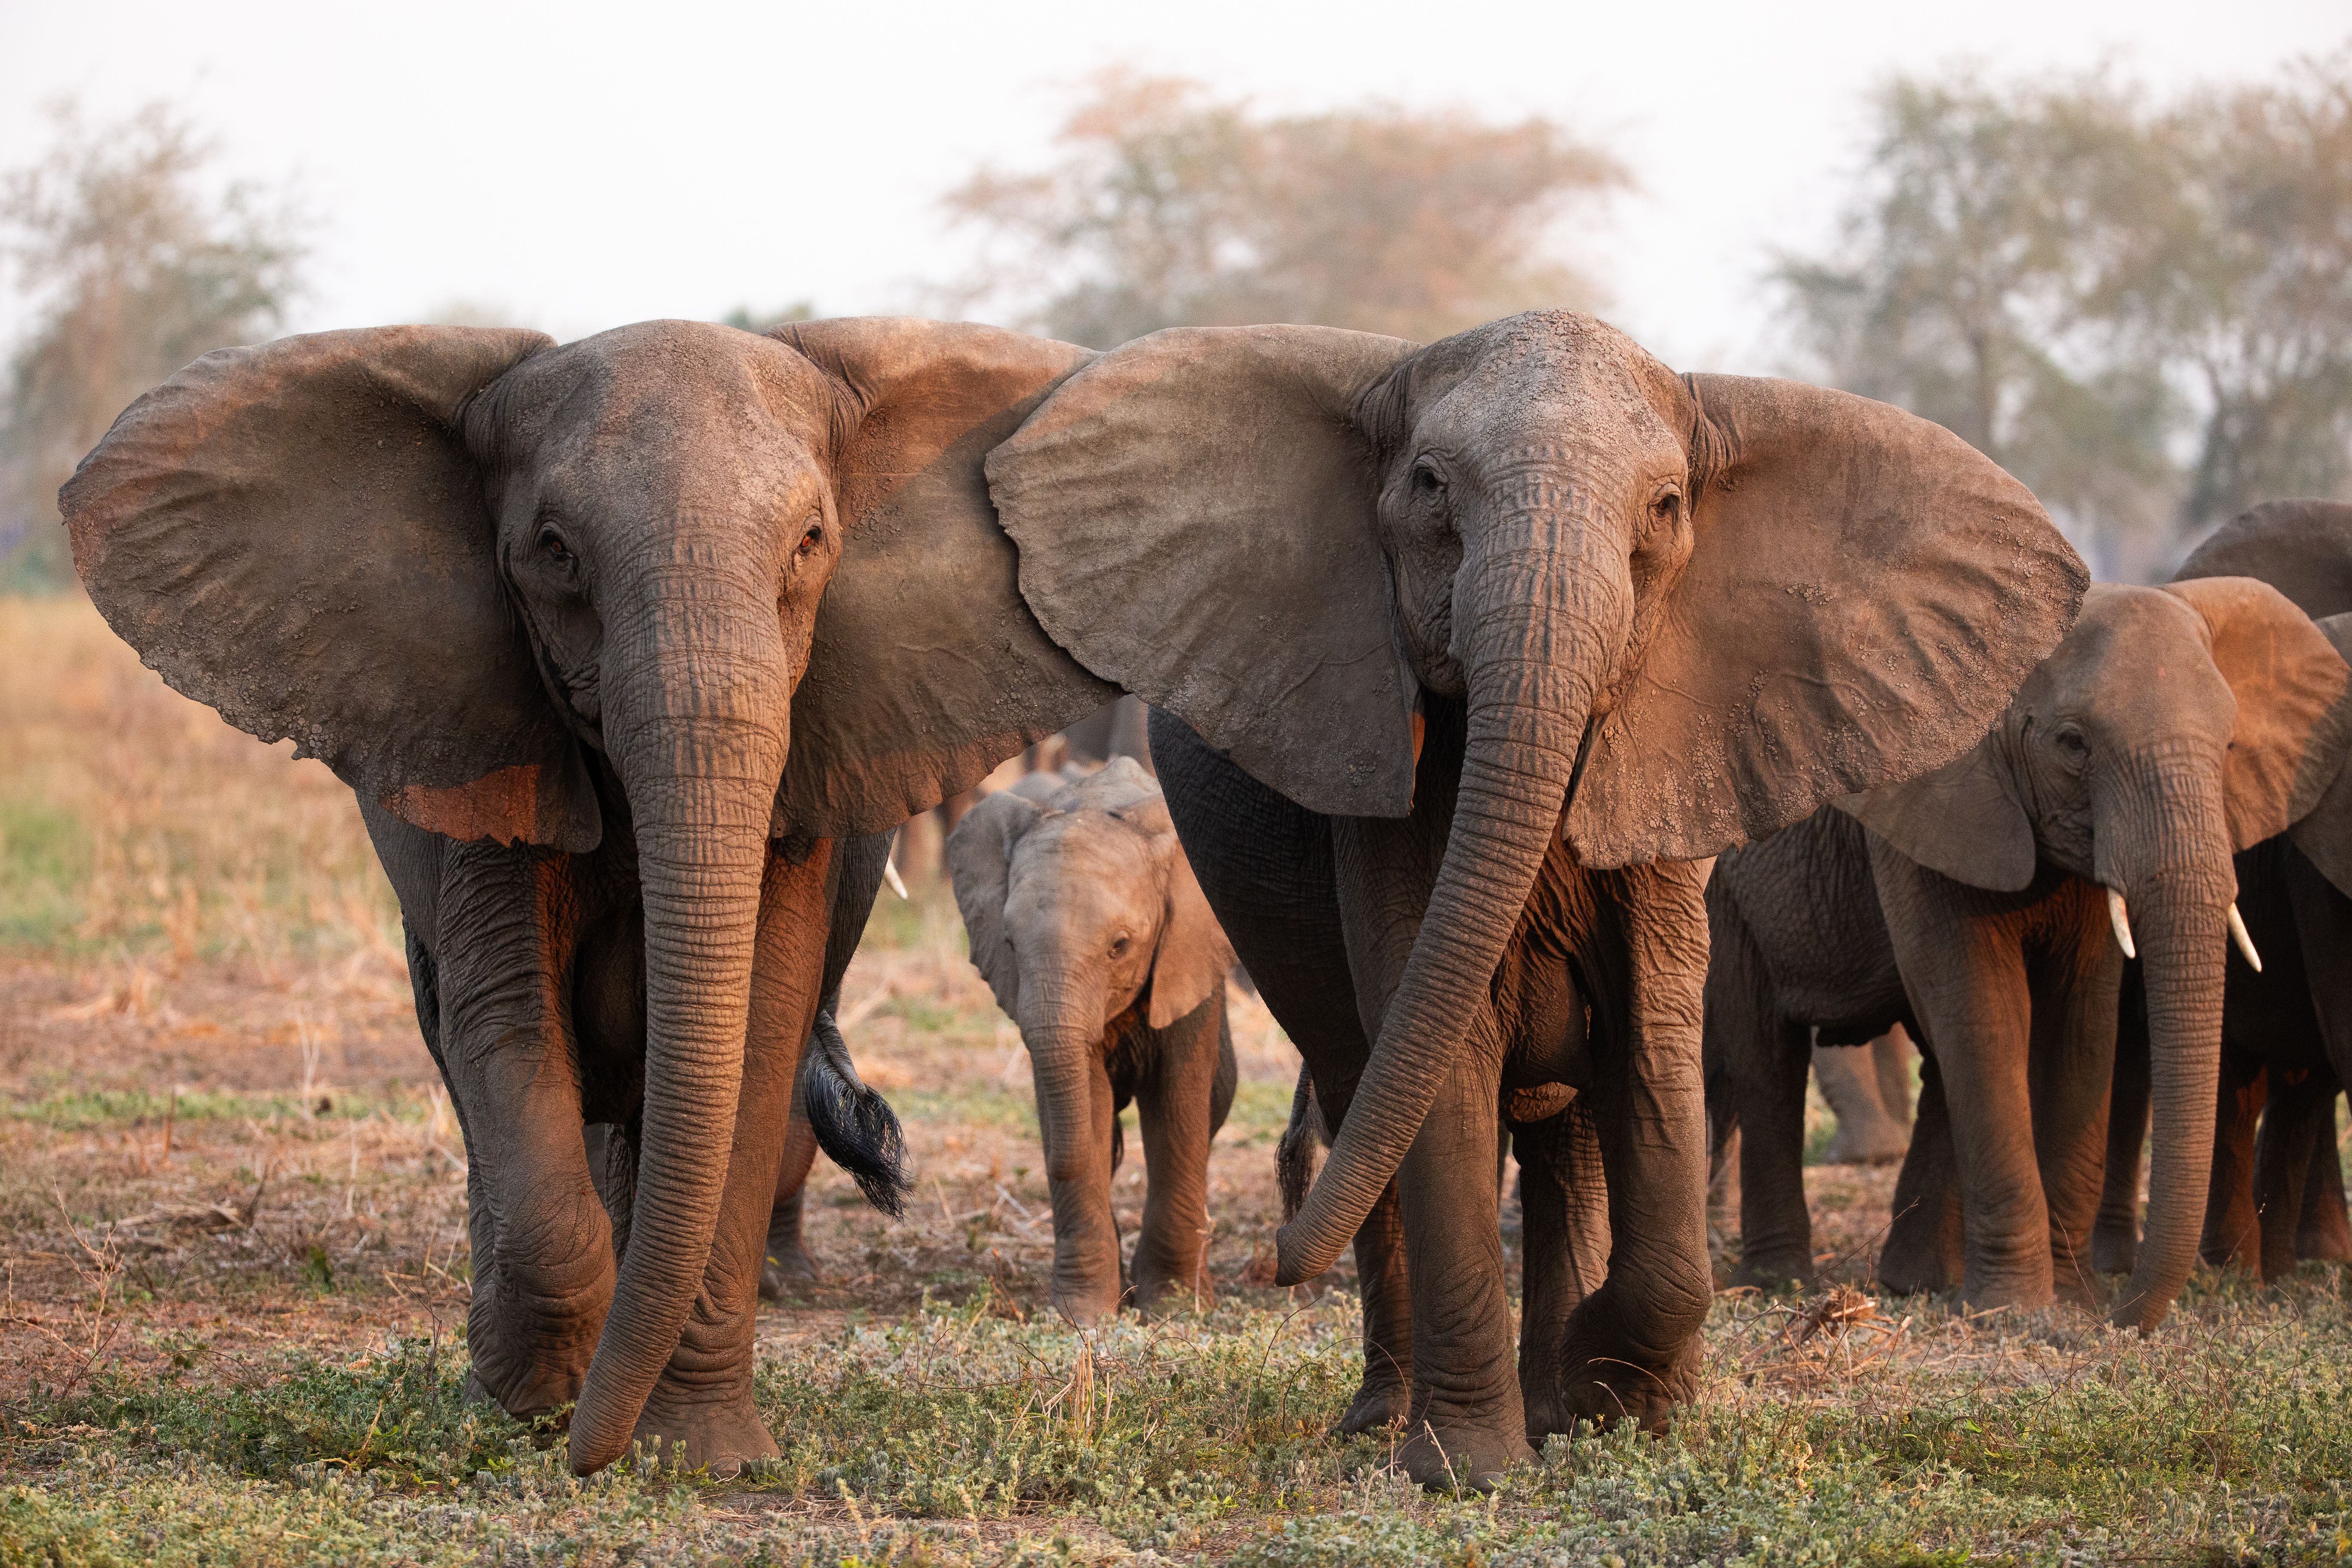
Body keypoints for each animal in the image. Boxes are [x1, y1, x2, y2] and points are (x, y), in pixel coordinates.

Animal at [63, 317, 1118, 1473]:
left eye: (809, 541)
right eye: (555, 550)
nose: (586, 1454)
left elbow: (755, 1035)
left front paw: (696, 1455)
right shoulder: (485, 745)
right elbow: (506, 1023)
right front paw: (530, 1409)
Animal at [946, 758, 1237, 1321]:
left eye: (1120, 946)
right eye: (1009, 943)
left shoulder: (1190, 957)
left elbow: (1178, 1107)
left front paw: (1174, 1309)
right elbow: (1085, 1103)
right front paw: (1083, 1317)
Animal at [983, 310, 2088, 1486]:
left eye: (1666, 508)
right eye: (1428, 486)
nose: (1274, 1262)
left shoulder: (1673, 757)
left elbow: (1652, 1035)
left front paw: (1617, 1396)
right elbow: (1441, 1043)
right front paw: (1467, 1468)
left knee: (1564, 1134)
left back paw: (1554, 1399)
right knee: (1366, 1091)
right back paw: (1391, 1416)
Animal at [1706, 580, 2352, 1327]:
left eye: (2228, 744)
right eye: (2073, 745)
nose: (2120, 1314)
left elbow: (2081, 1023)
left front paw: (2067, 1301)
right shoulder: (1930, 802)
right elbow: (1985, 1014)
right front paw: (2013, 1311)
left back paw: (1916, 1281)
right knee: (1765, 1060)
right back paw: (1779, 1282)